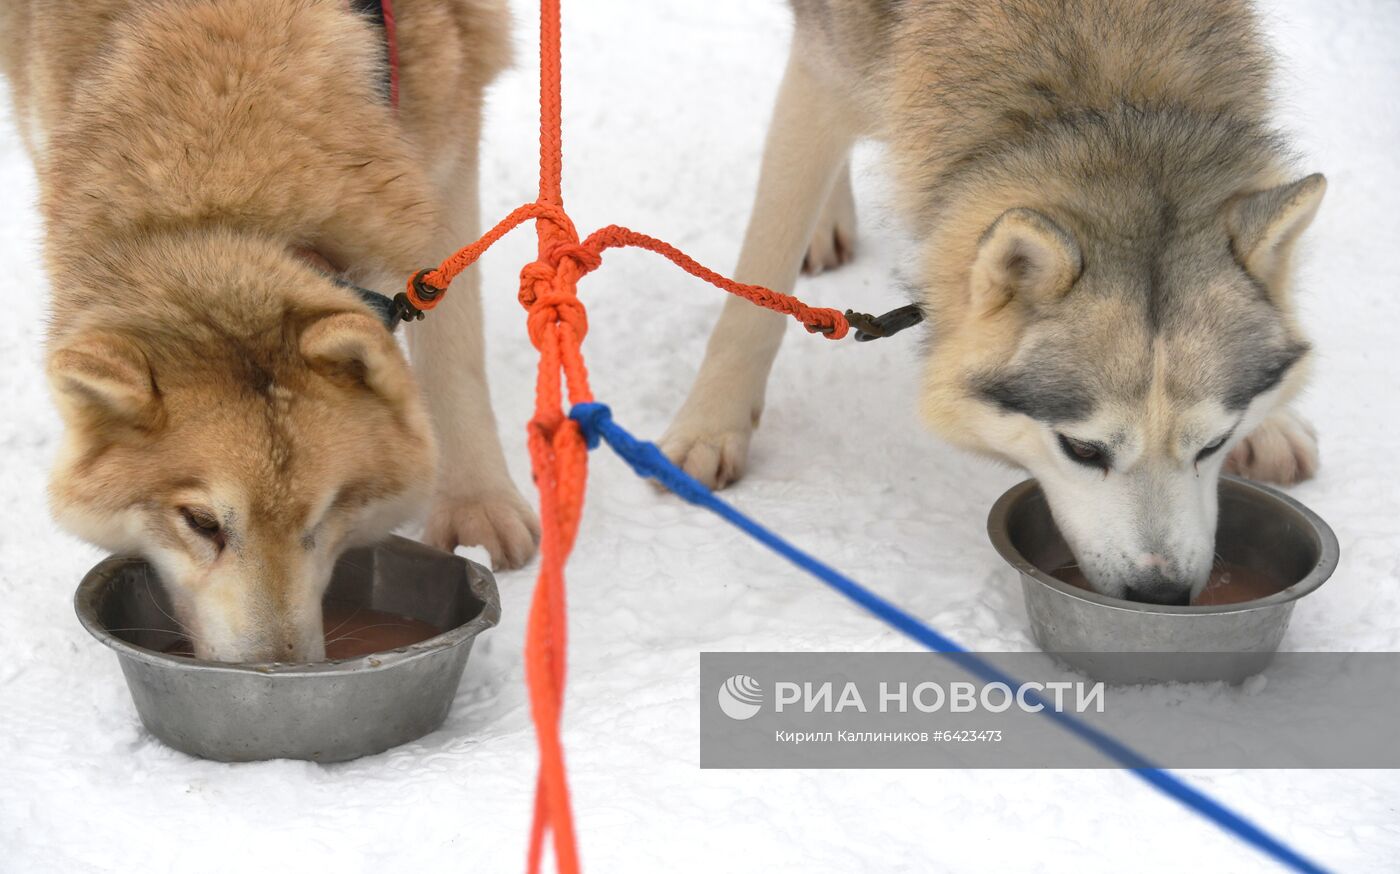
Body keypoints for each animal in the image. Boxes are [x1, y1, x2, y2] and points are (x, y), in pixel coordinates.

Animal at [0, 0, 540, 655]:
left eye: (326, 515)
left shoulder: (445, 139)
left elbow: (451, 351)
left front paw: (476, 509)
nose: (280, 668)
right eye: (202, 523)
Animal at [660, 0, 1327, 605]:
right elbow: (756, 288)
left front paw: (1273, 426)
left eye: (1214, 445)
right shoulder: (821, 77)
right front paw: (710, 428)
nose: (1160, 594)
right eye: (1083, 450)